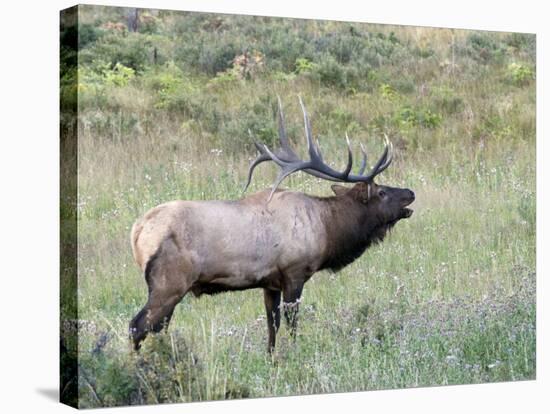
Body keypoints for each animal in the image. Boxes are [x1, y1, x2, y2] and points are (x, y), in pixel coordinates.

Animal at [128, 98, 414, 352]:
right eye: (381, 192)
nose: (410, 193)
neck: (327, 228)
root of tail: (137, 231)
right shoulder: (294, 273)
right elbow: (292, 325)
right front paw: (295, 355)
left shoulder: (270, 283)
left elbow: (272, 327)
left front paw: (272, 358)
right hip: (169, 283)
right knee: (137, 325)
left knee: (156, 328)